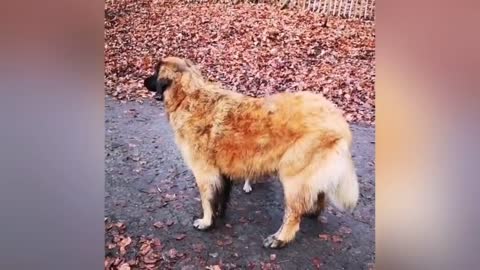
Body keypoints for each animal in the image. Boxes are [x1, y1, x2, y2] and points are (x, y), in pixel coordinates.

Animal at [144, 56, 358, 249]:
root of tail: (339, 121)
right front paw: (219, 216)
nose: (144, 81)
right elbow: (221, 197)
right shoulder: (222, 171)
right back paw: (312, 212)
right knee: (318, 195)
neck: (189, 97)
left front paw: (206, 222)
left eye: (155, 72)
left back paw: (280, 238)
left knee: (293, 215)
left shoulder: (205, 173)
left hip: (293, 177)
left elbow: (207, 200)